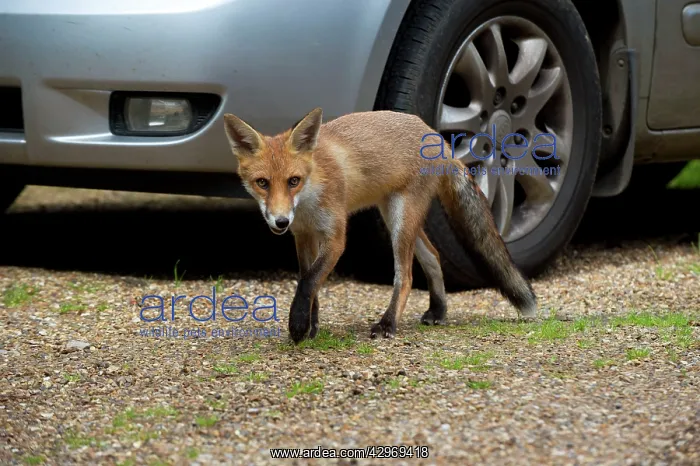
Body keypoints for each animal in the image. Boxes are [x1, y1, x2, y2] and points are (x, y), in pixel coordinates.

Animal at [222, 107, 538, 343]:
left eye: (293, 181)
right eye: (262, 183)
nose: (280, 221)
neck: (309, 198)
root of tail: (439, 138)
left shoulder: (336, 238)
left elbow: (309, 281)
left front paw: (298, 324)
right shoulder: (303, 236)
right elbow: (308, 282)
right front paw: (310, 324)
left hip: (401, 221)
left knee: (406, 277)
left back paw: (387, 324)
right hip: (395, 217)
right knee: (433, 256)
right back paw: (438, 310)